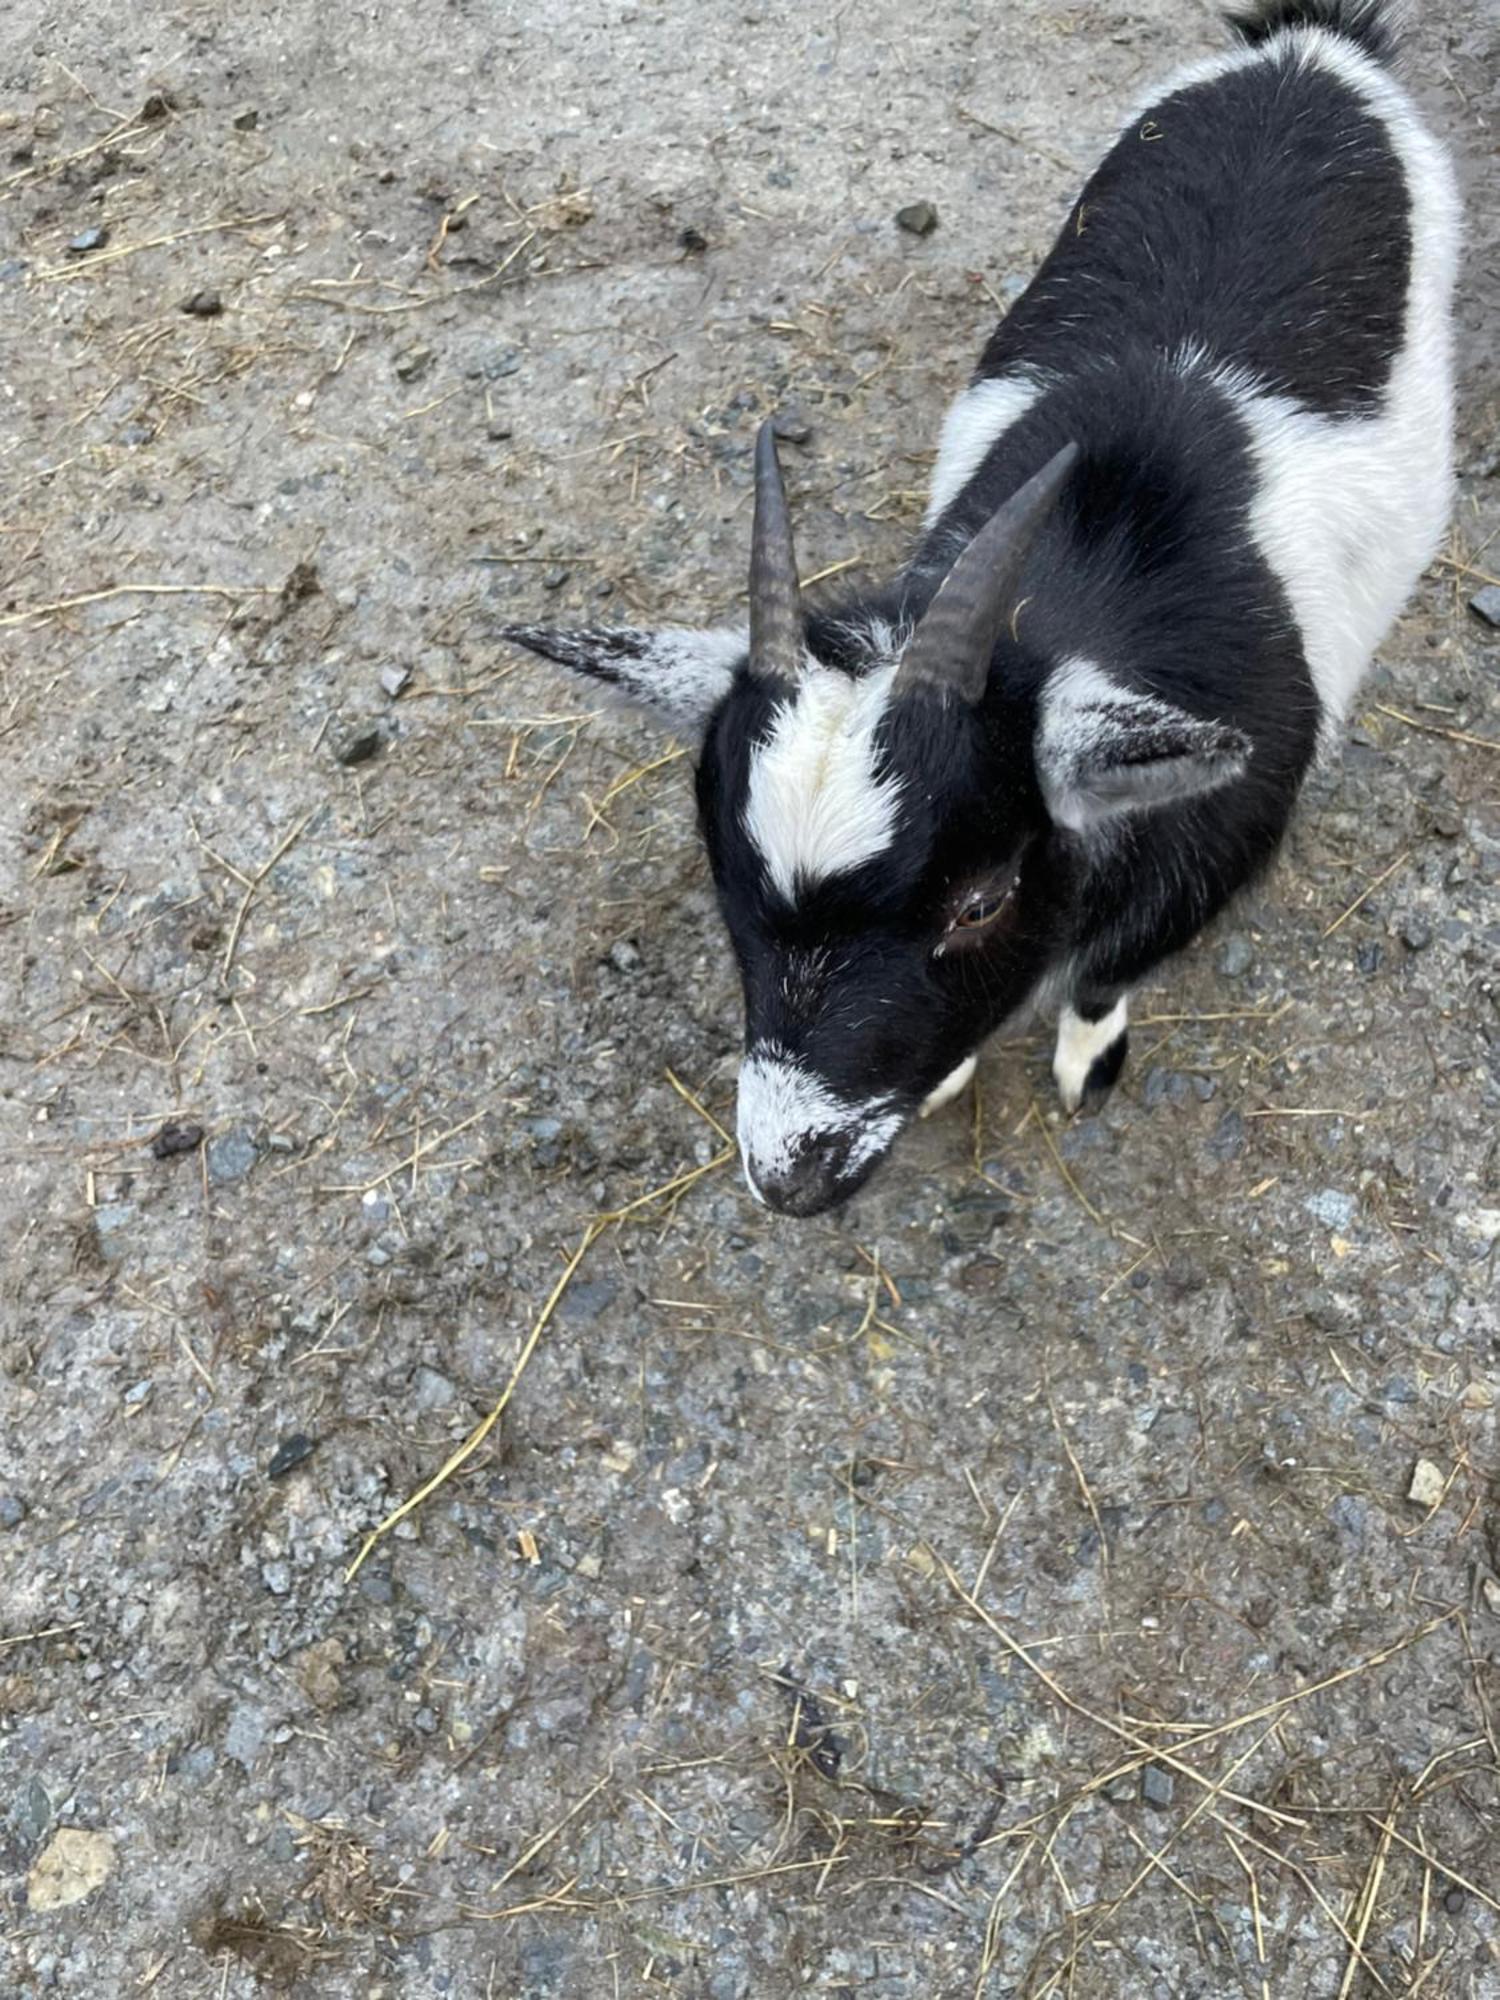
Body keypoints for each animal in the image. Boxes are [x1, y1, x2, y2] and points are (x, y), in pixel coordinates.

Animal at [502, 0, 1456, 1216]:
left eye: (981, 898)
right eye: (722, 871)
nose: (790, 1175)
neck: (1098, 555)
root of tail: (1308, 51)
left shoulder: (1214, 847)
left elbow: (1102, 974)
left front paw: (1088, 1060)